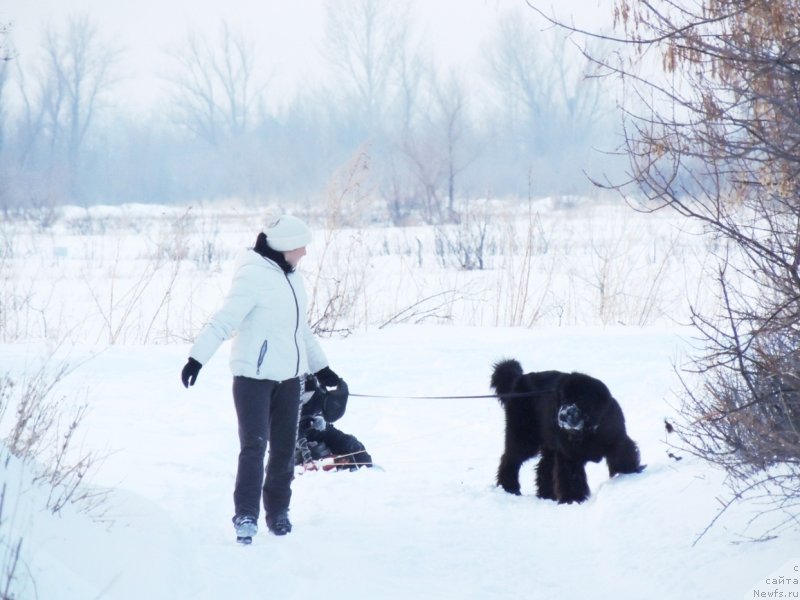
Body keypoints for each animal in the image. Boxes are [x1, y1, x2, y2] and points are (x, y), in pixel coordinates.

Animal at [488, 358, 644, 504]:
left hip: (548, 443)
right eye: (563, 399)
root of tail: (519, 379)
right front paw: (572, 500)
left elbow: (623, 456)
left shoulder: (617, 439)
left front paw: (629, 474)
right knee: (510, 459)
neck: (587, 431)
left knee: (544, 466)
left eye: (580, 399)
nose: (562, 416)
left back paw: (546, 495)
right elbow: (570, 478)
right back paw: (509, 488)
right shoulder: (569, 455)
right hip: (524, 436)